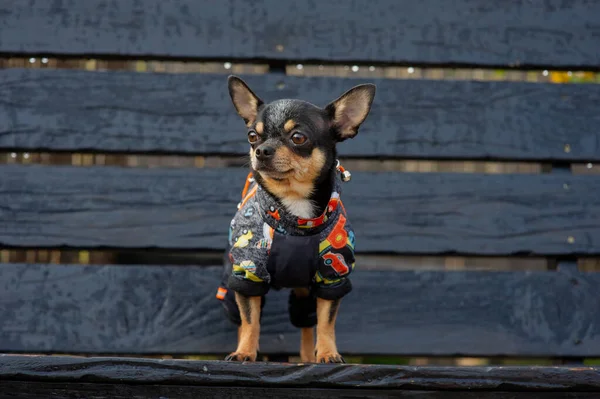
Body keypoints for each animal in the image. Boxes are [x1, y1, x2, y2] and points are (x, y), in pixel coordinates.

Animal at [216, 74, 376, 362]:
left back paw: (308, 358)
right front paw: (244, 352)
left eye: (298, 137)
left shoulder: (331, 276)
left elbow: (326, 322)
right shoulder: (248, 273)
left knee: (306, 323)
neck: (294, 210)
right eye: (252, 136)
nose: (261, 150)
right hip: (232, 282)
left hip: (304, 291)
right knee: (243, 315)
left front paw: (328, 353)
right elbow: (250, 320)